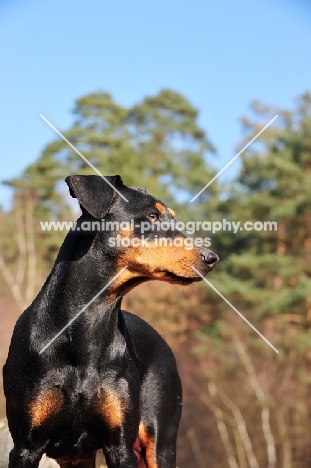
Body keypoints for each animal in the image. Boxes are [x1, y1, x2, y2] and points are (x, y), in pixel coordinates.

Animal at [2, 176, 219, 468]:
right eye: (152, 216)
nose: (211, 258)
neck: (90, 322)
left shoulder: (120, 446)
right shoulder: (26, 446)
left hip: (159, 441)